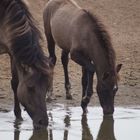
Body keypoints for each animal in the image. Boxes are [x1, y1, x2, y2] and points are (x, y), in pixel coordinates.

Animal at [0, 0, 53, 129]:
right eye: (30, 88)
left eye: (47, 88)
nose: (42, 122)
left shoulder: (13, 52)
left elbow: (15, 83)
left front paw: (18, 115)